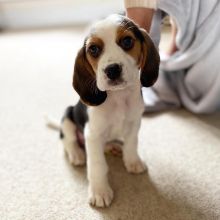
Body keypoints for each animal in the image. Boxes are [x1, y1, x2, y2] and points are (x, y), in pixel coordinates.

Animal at [60, 14, 160, 207]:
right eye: (93, 49)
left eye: (127, 41)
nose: (112, 70)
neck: (119, 97)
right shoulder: (92, 134)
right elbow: (97, 165)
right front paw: (99, 191)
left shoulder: (134, 124)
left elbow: (131, 144)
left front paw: (132, 162)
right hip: (67, 116)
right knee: (68, 140)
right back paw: (76, 154)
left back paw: (113, 147)